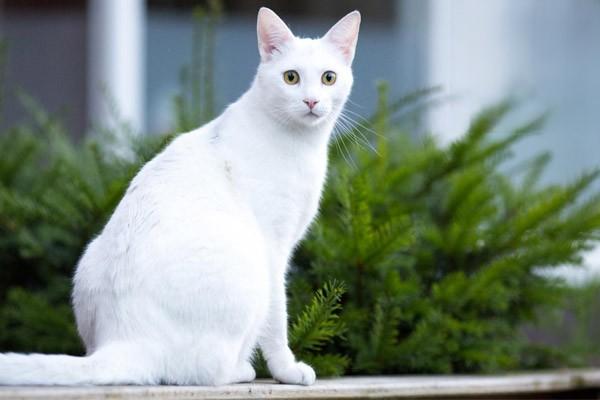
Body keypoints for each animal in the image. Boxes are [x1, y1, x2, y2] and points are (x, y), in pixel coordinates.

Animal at [0, 6, 360, 386]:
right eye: (291, 77)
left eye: (329, 78)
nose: (311, 100)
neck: (301, 143)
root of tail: (124, 340)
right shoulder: (275, 249)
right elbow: (277, 321)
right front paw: (287, 370)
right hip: (255, 272)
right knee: (208, 370)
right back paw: (241, 370)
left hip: (88, 258)